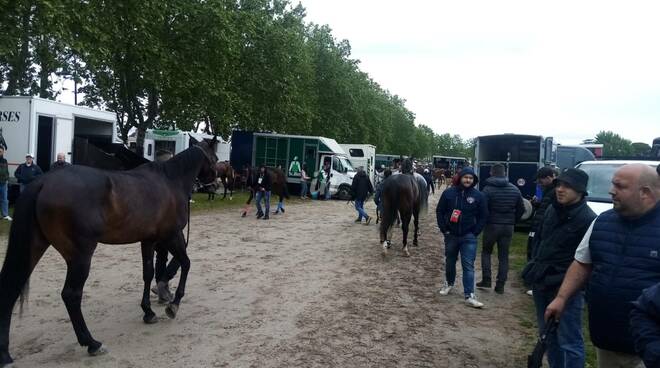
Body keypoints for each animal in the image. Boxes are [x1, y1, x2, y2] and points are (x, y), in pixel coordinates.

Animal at [0, 139, 219, 366]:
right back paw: (92, 343)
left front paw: (148, 312)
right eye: (215, 158)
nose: (216, 184)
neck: (170, 181)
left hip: (34, 247)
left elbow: (148, 274)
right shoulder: (172, 235)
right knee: (71, 295)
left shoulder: (148, 240)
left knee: (11, 289)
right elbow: (185, 263)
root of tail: (43, 183)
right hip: (80, 256)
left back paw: (5, 353)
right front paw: (173, 305)